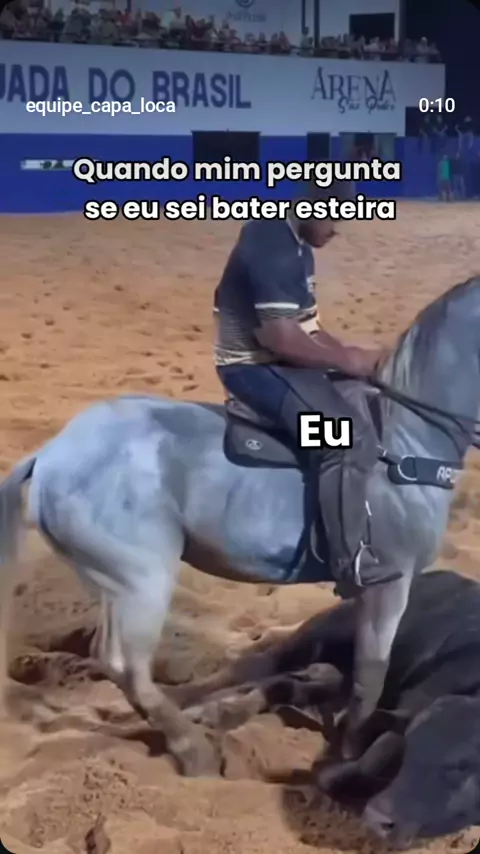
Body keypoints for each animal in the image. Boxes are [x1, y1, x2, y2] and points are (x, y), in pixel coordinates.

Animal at [0, 276, 479, 777]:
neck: (407, 440)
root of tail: (52, 454)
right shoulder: (389, 583)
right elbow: (372, 672)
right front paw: (349, 747)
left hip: (112, 583)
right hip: (140, 580)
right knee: (125, 664)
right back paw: (195, 751)